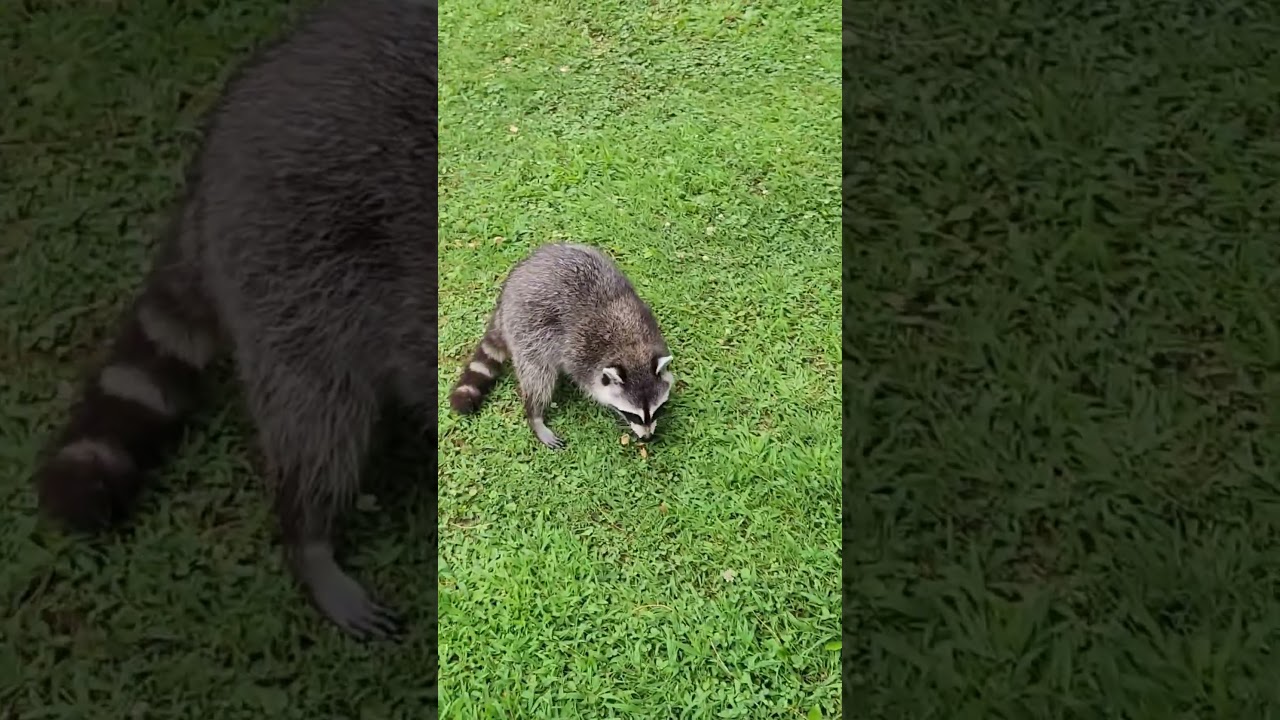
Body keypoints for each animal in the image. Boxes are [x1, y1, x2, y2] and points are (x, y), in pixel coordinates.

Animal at [448, 243, 674, 448]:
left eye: (657, 410)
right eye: (633, 415)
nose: (647, 438)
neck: (630, 347)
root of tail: (505, 299)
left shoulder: (646, 323)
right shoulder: (579, 352)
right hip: (527, 327)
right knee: (538, 374)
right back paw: (535, 414)